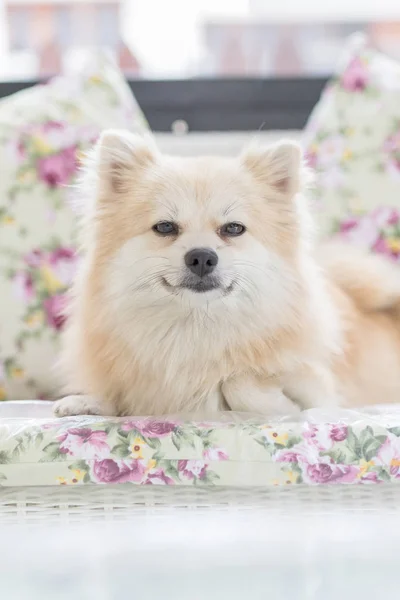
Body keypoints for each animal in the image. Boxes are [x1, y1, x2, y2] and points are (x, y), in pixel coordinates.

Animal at [54, 129, 400, 418]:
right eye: (165, 227)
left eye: (233, 228)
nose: (202, 257)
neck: (196, 328)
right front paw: (85, 401)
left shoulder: (321, 387)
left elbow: (238, 382)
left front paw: (279, 403)